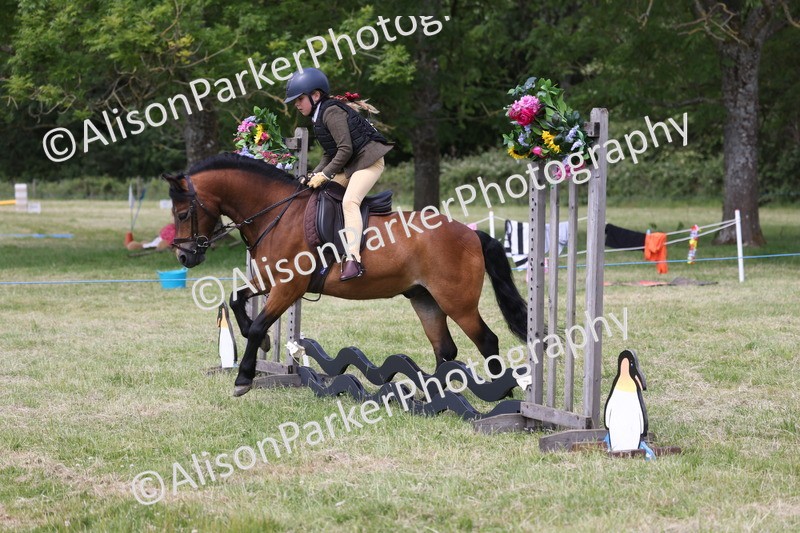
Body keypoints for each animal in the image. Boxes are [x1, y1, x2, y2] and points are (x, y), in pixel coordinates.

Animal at [164, 152, 528, 397]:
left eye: (182, 213)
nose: (184, 255)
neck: (278, 214)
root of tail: (471, 234)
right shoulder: (268, 281)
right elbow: (237, 299)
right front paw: (264, 343)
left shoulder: (288, 287)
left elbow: (255, 327)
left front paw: (243, 379)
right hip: (425, 299)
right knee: (445, 349)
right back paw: (433, 396)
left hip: (457, 302)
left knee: (487, 340)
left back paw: (502, 394)